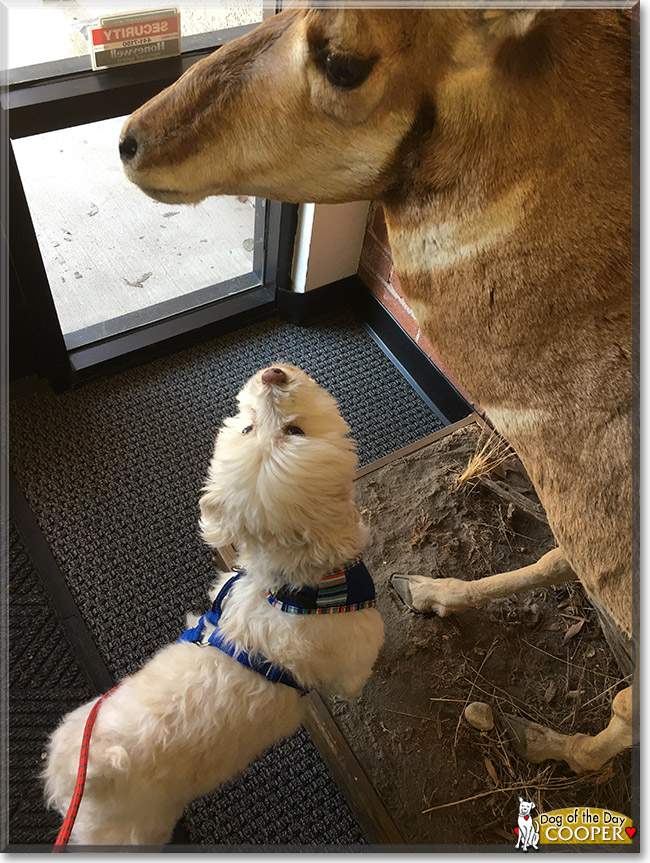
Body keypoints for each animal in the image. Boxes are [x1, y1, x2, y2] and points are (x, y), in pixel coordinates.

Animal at [44, 362, 384, 844]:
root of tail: (89, 782)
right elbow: (359, 678)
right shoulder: (355, 652)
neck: (289, 590)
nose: (272, 375)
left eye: (288, 430)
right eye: (253, 427)